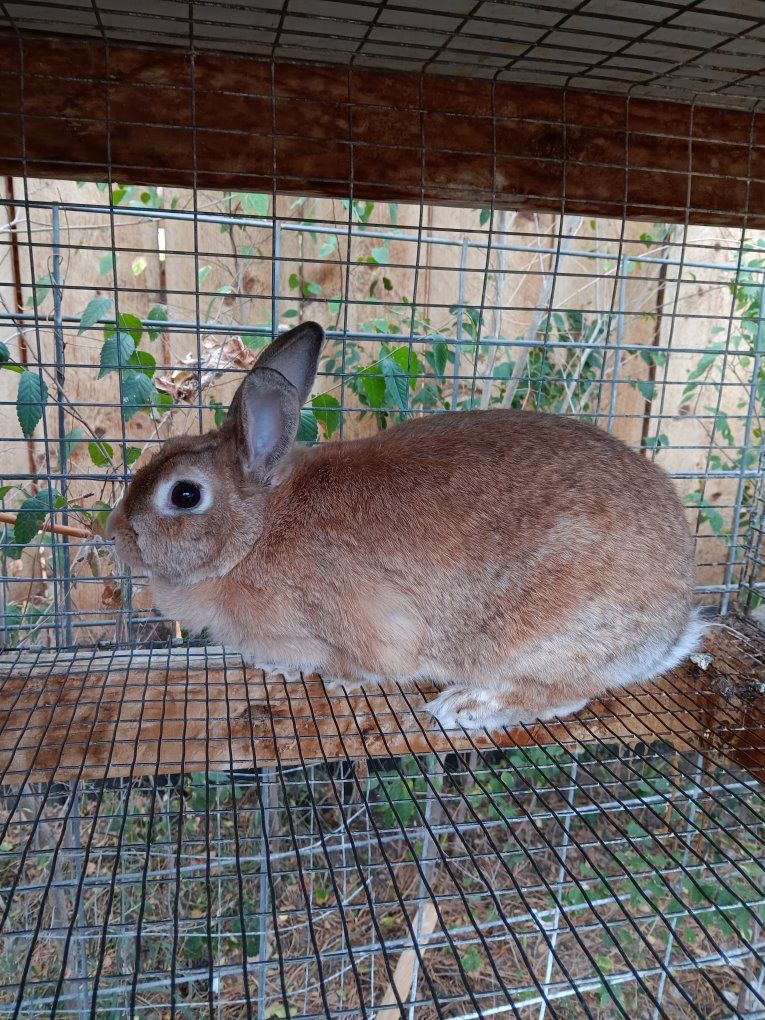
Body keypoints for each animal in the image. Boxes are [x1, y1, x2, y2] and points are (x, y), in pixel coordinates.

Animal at [106, 320, 704, 732]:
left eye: (184, 494)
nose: (113, 534)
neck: (254, 532)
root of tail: (671, 625)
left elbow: (369, 664)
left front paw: (337, 678)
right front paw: (280, 671)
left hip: (541, 631)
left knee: (565, 691)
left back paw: (467, 706)